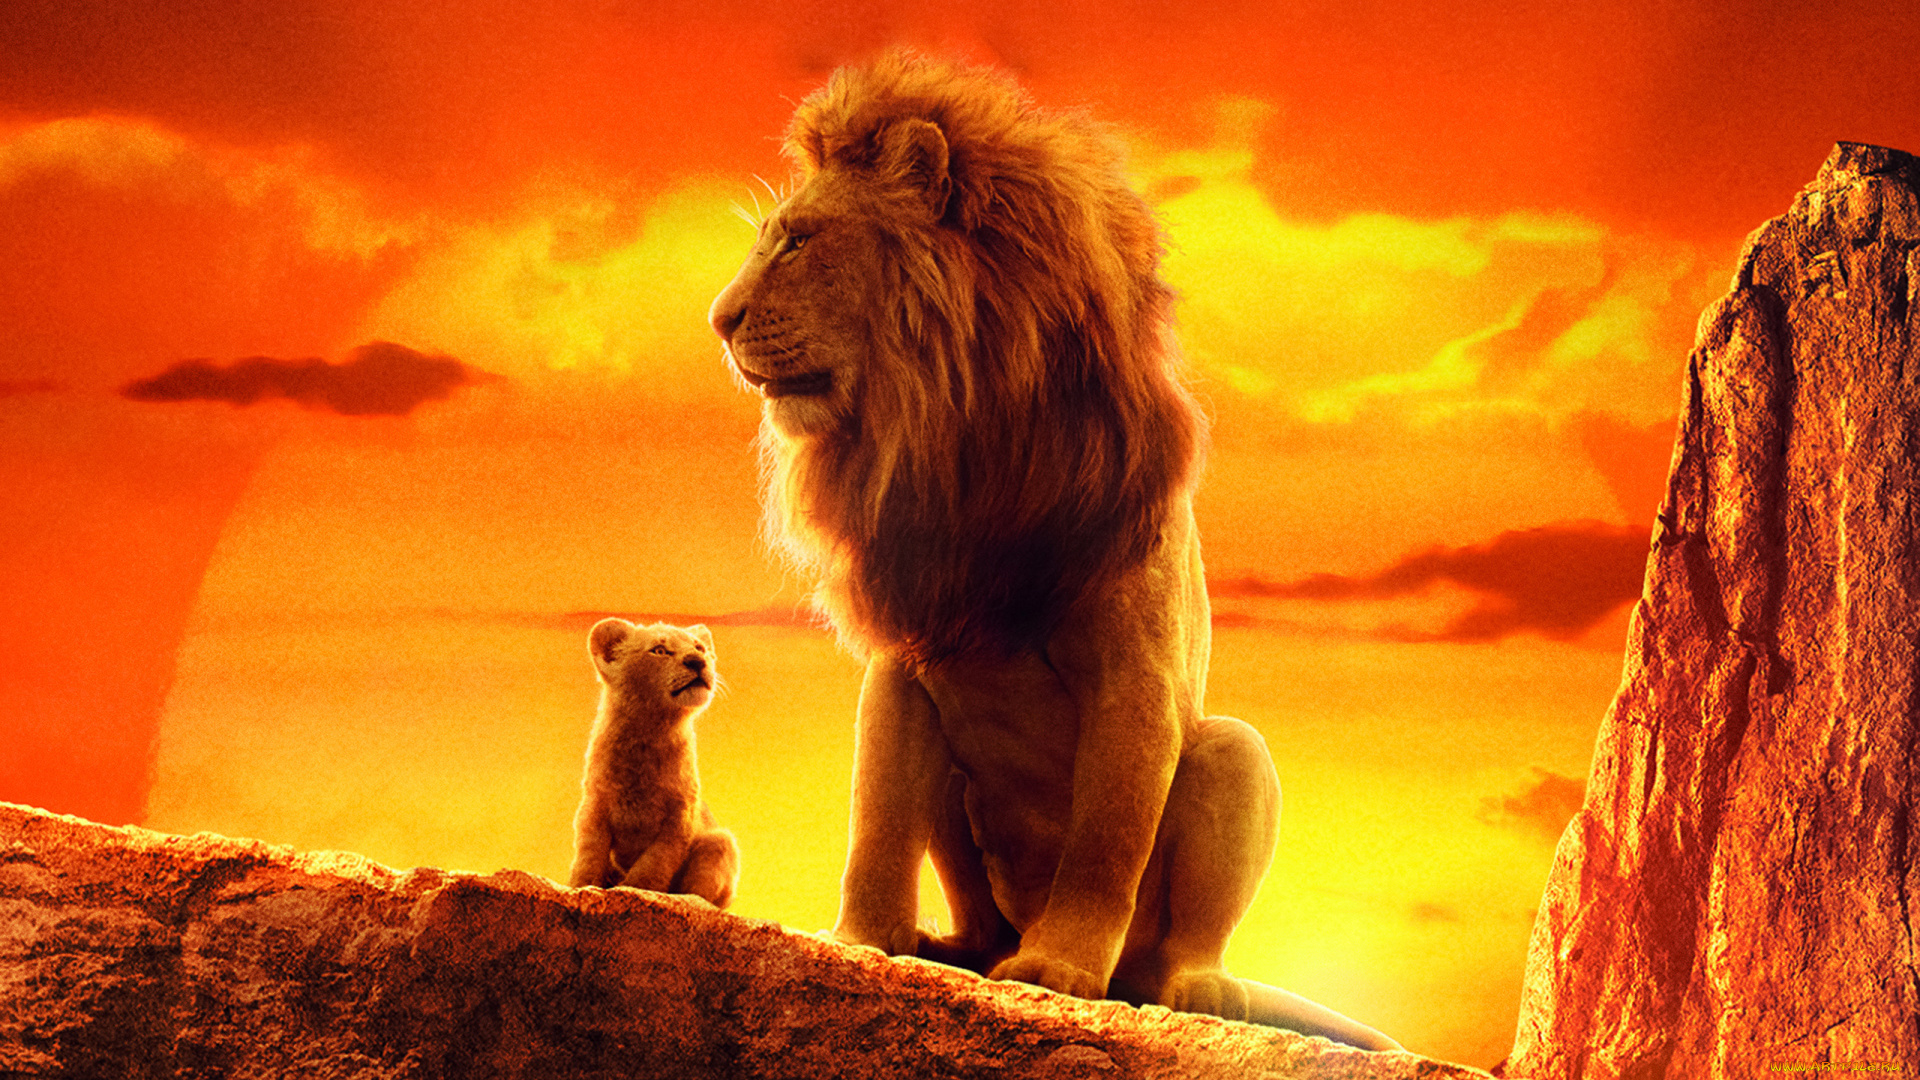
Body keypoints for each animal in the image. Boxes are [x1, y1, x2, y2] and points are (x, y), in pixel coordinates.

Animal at [708, 52, 1400, 1052]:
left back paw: (1188, 986)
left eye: (797, 242)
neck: (962, 429)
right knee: (971, 898)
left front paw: (1059, 970)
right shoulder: (906, 658)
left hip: (1232, 754)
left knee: (1176, 935)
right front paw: (860, 942)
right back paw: (954, 946)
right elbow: (876, 824)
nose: (718, 320)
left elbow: (1105, 844)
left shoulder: (1134, 679)